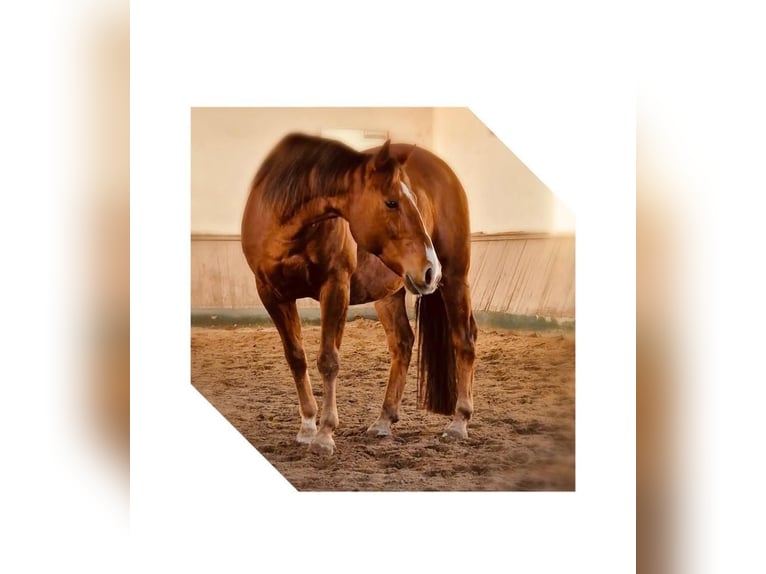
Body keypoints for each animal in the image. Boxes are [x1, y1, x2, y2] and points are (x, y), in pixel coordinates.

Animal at [241, 133, 477, 455]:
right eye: (391, 202)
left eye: (413, 202)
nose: (431, 270)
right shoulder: (271, 294)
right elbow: (296, 357)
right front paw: (308, 426)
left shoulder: (335, 287)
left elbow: (329, 360)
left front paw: (325, 434)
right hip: (389, 293)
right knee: (402, 343)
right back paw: (384, 420)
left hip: (454, 278)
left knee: (463, 340)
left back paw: (459, 422)